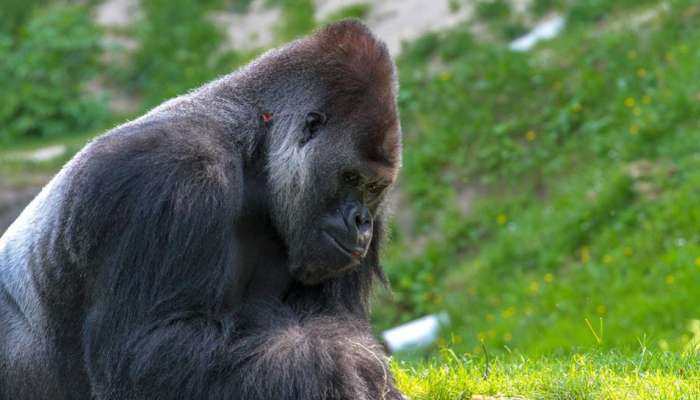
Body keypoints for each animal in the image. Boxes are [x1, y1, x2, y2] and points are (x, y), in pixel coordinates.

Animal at [0, 21, 404, 400]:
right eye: (350, 177)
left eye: (374, 188)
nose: (361, 222)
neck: (255, 153)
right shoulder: (174, 176)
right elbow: (146, 349)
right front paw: (338, 366)